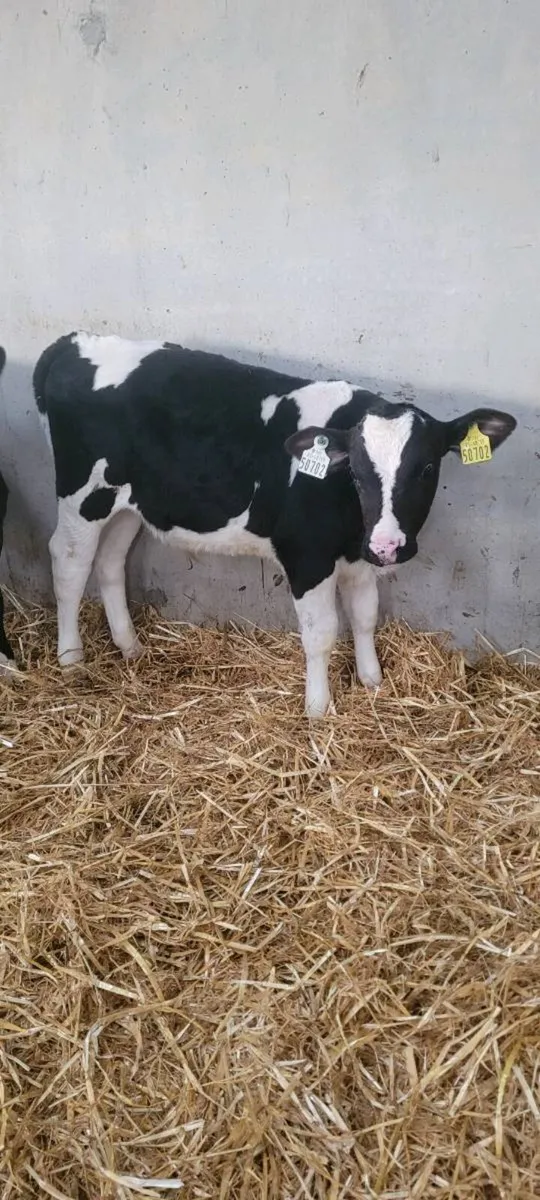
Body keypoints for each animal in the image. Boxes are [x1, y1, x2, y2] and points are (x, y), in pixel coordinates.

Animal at [33, 333, 516, 716]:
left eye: (427, 468)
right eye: (357, 471)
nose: (389, 546)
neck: (350, 524)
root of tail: (74, 341)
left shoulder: (358, 557)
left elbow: (365, 615)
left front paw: (372, 681)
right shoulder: (307, 556)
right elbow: (321, 633)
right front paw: (318, 710)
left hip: (128, 503)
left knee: (110, 562)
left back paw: (130, 647)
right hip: (82, 495)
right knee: (69, 562)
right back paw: (71, 658)